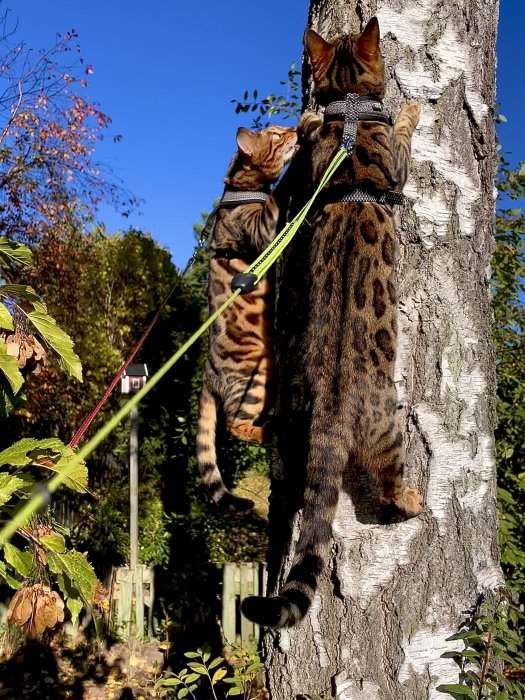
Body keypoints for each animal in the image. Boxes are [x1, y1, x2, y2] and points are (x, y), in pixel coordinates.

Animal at [196, 124, 296, 508]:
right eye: (276, 135)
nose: (294, 129)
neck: (239, 192)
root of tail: (208, 374)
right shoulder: (260, 230)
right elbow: (277, 197)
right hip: (255, 375)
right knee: (236, 427)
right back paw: (270, 431)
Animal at [242, 16, 422, 628]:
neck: (350, 114)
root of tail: (329, 409)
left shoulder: (310, 168)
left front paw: (306, 120)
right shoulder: (396, 163)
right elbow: (404, 141)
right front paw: (412, 108)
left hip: (293, 417)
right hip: (389, 430)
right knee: (390, 487)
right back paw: (414, 499)